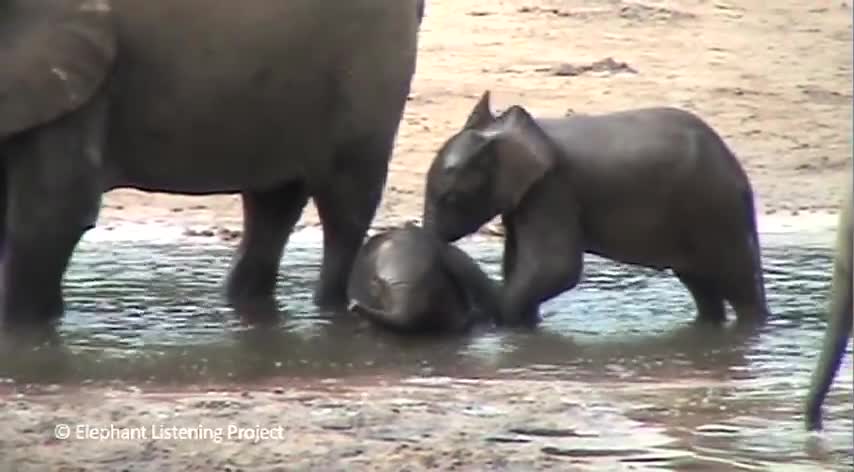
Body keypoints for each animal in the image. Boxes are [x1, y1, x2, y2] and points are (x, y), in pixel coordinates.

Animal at [0, 0, 424, 328]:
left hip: (370, 67)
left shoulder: (80, 74)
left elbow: (51, 214)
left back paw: (330, 312)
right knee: (272, 205)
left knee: (343, 205)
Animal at [424, 92, 772, 328]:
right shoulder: (527, 196)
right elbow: (520, 263)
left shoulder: (553, 189)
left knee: (738, 285)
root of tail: (740, 175)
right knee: (702, 287)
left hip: (715, 210)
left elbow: (556, 268)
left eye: (449, 198)